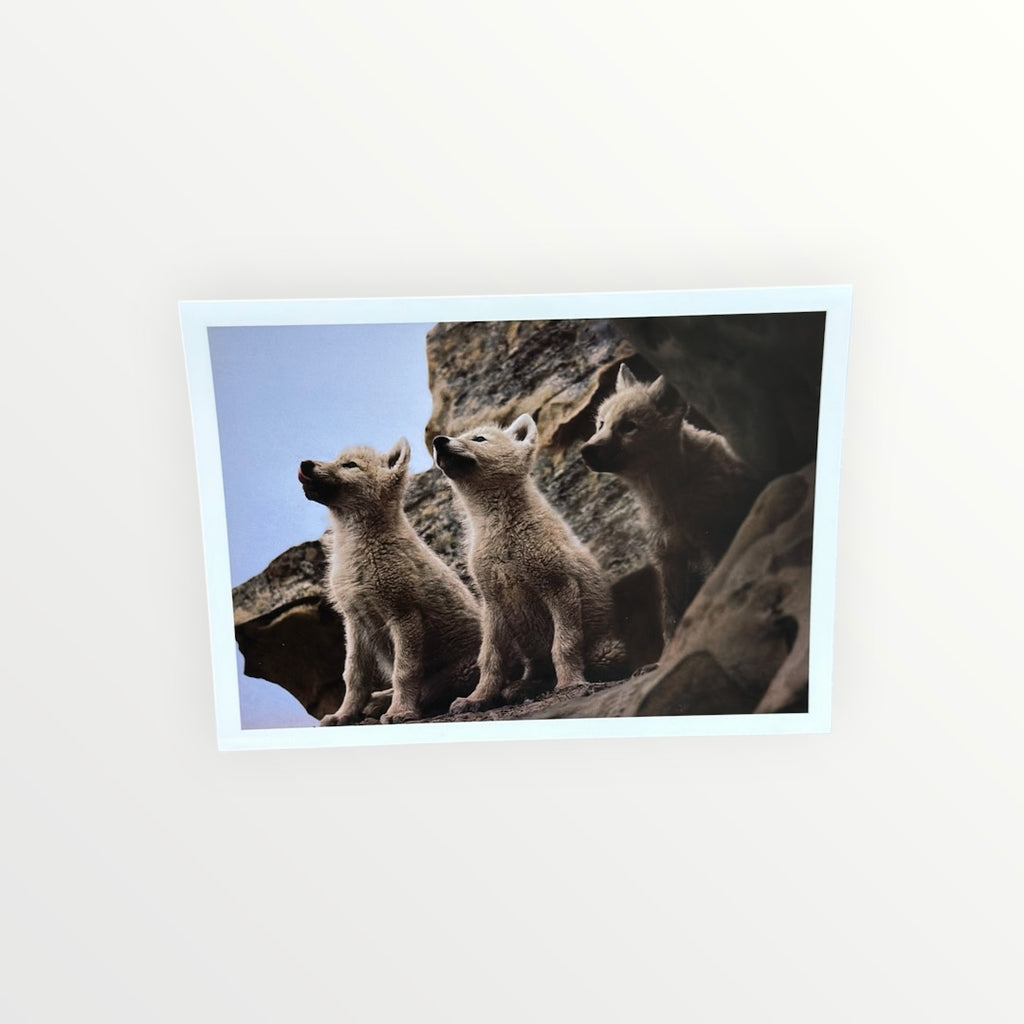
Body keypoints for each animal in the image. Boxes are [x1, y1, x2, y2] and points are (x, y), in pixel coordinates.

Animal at [298, 438, 481, 725]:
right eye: (337, 460)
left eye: (350, 465)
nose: (305, 464)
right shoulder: (355, 622)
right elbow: (354, 676)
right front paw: (343, 714)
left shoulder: (404, 615)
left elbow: (404, 671)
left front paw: (400, 712)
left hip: (460, 670)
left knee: (431, 688)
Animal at [433, 414, 623, 714]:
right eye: (456, 436)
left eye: (479, 438)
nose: (438, 441)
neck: (505, 537)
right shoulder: (493, 601)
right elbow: (490, 658)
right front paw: (475, 699)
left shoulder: (559, 584)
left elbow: (564, 644)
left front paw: (570, 683)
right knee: (533, 669)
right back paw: (520, 688)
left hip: (607, 649)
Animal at [581, 364, 762, 640]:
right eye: (601, 424)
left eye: (628, 427)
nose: (586, 450)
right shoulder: (668, 558)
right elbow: (671, 618)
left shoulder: (712, 544)